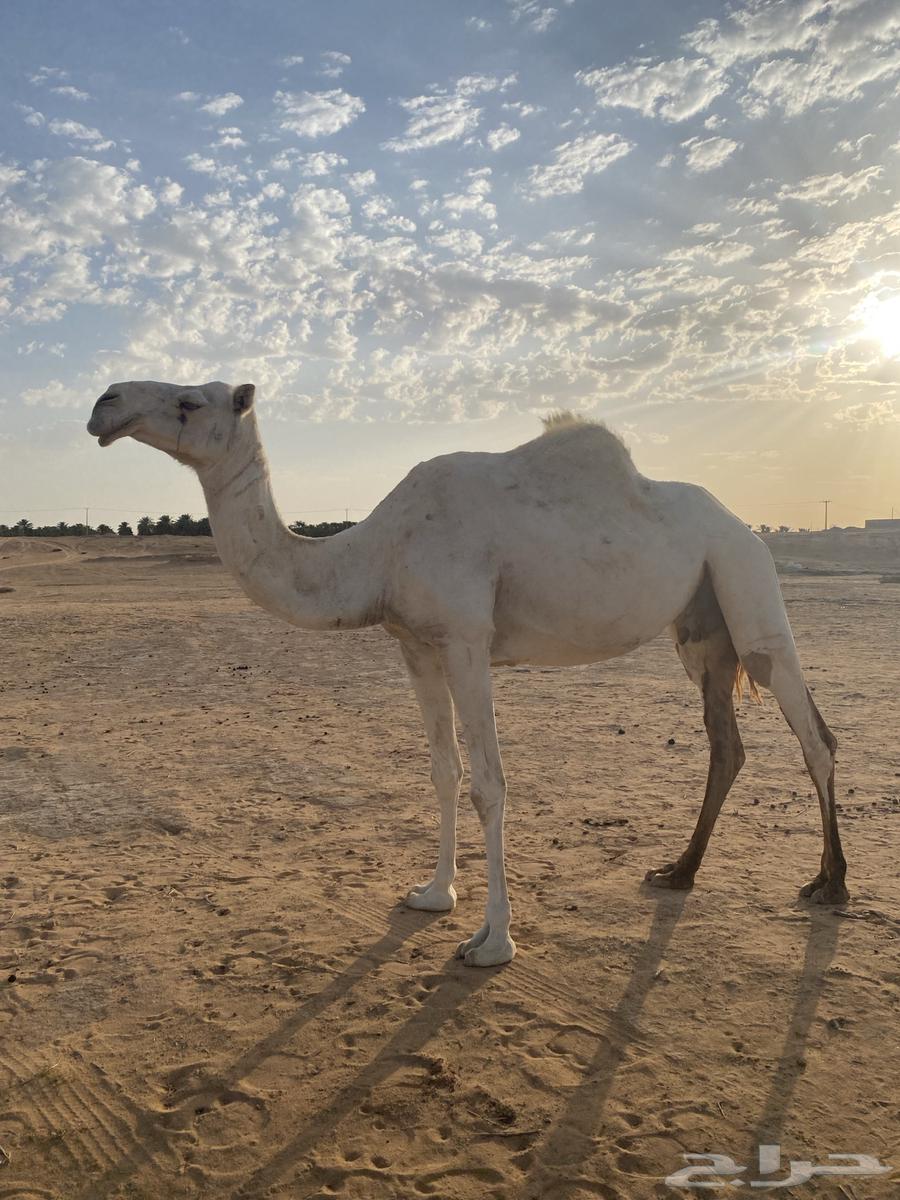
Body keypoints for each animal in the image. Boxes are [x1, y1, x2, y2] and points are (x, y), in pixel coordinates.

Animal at [87, 380, 849, 966]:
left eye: (191, 401)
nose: (104, 403)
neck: (376, 554)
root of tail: (743, 523)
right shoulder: (416, 644)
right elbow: (443, 770)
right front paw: (433, 894)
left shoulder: (466, 640)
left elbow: (489, 783)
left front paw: (492, 941)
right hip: (700, 626)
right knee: (727, 743)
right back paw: (678, 872)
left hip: (746, 580)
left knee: (813, 731)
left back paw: (832, 884)